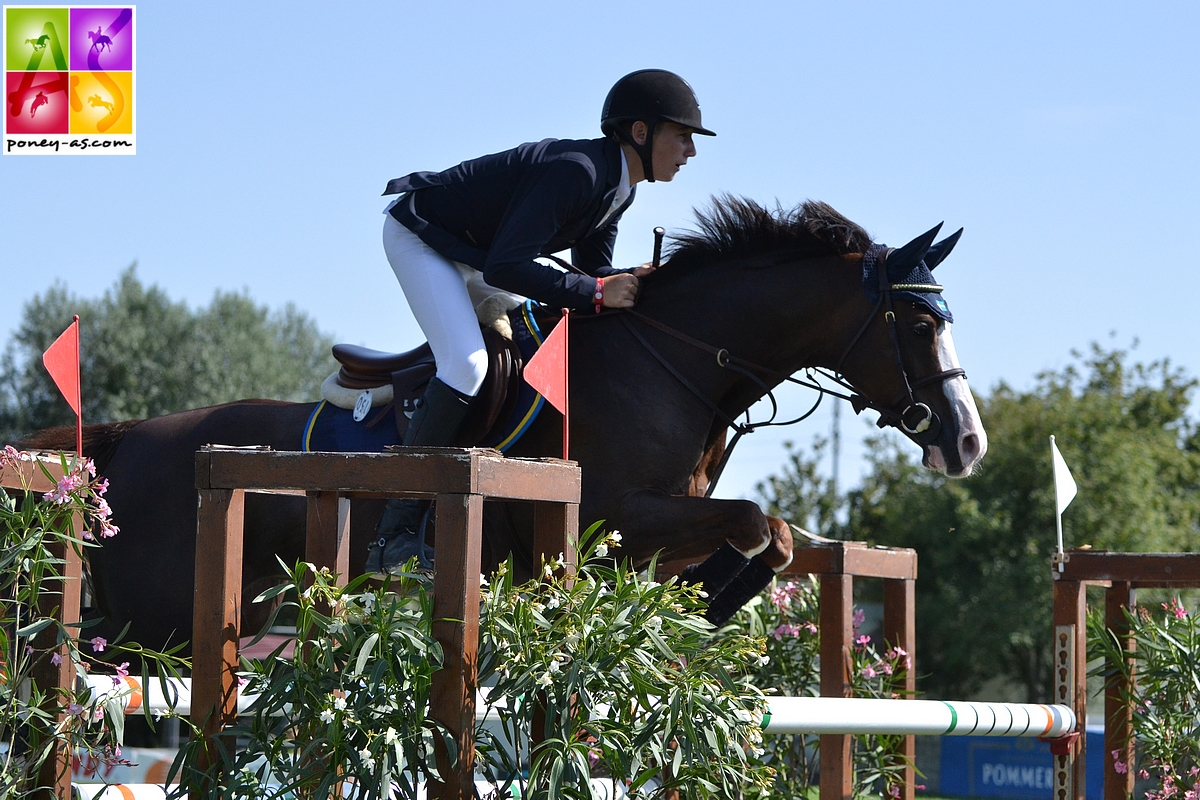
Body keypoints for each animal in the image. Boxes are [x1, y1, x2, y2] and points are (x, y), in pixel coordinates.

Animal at [18, 196, 984, 652]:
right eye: (920, 323)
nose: (968, 441)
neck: (669, 358)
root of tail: (125, 440)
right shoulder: (617, 517)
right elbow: (757, 523)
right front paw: (721, 596)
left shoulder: (658, 528)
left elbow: (769, 536)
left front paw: (713, 602)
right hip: (155, 625)